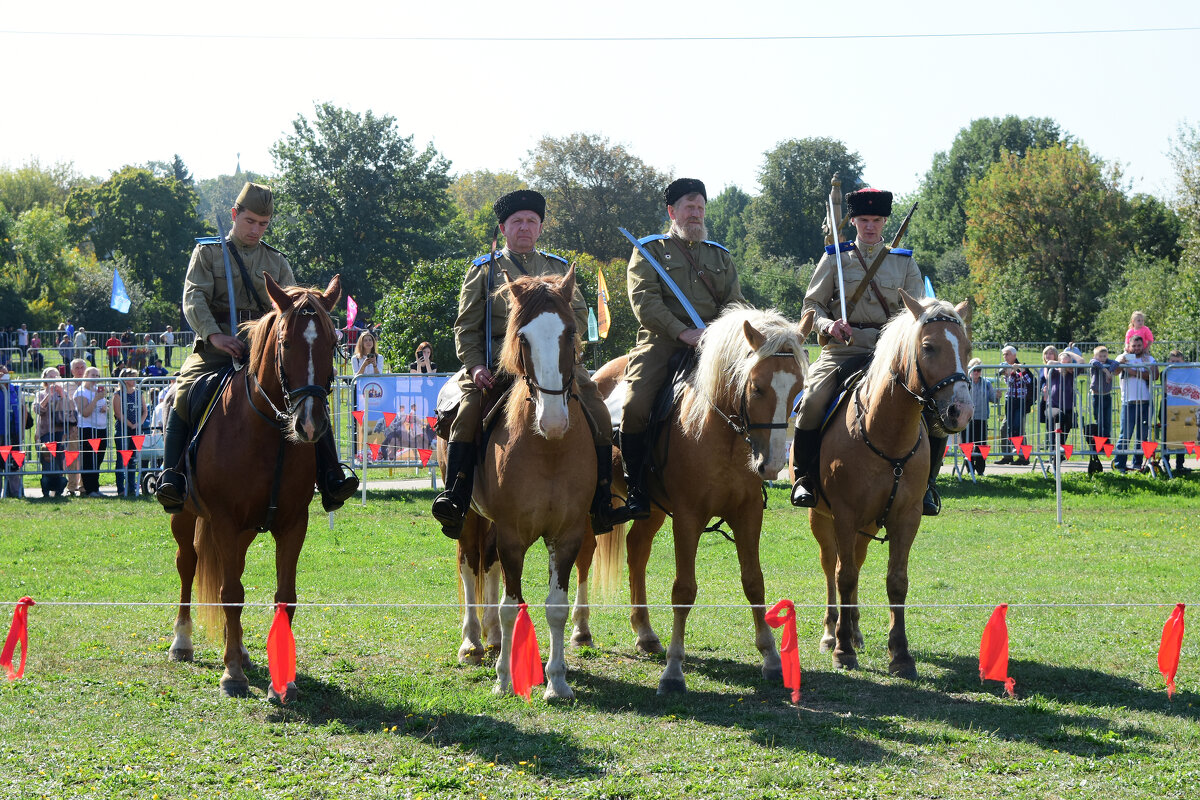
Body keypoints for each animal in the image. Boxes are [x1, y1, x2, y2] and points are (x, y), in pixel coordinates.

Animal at [166, 275, 343, 700]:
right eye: (286, 343)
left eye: (332, 343)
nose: (310, 424)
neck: (268, 434)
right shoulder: (224, 521)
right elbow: (231, 594)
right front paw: (231, 674)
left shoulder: (293, 524)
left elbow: (284, 596)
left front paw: (284, 680)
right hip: (185, 516)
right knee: (187, 564)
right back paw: (183, 641)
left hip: (245, 531)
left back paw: (242, 650)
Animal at [441, 266, 595, 695]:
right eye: (522, 337)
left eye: (571, 332)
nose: (553, 420)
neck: (549, 450)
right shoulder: (512, 534)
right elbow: (512, 607)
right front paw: (505, 680)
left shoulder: (567, 534)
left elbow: (555, 607)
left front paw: (557, 682)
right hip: (469, 518)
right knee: (469, 565)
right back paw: (472, 642)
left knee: (488, 566)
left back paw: (493, 638)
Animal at [573, 307, 806, 695]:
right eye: (757, 386)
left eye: (799, 389)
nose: (772, 464)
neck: (720, 432)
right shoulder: (687, 518)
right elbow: (683, 589)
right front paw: (673, 671)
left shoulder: (747, 514)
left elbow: (753, 580)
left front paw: (771, 657)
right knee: (585, 554)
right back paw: (581, 628)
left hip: (650, 508)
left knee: (637, 550)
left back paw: (646, 633)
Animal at [801, 291, 969, 681]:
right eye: (929, 347)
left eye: (967, 347)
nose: (961, 411)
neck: (885, 431)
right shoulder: (844, 515)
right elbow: (844, 576)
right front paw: (842, 650)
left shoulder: (906, 517)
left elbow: (896, 581)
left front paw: (900, 654)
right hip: (822, 519)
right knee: (831, 567)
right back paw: (833, 633)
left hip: (867, 525)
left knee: (856, 562)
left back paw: (854, 629)